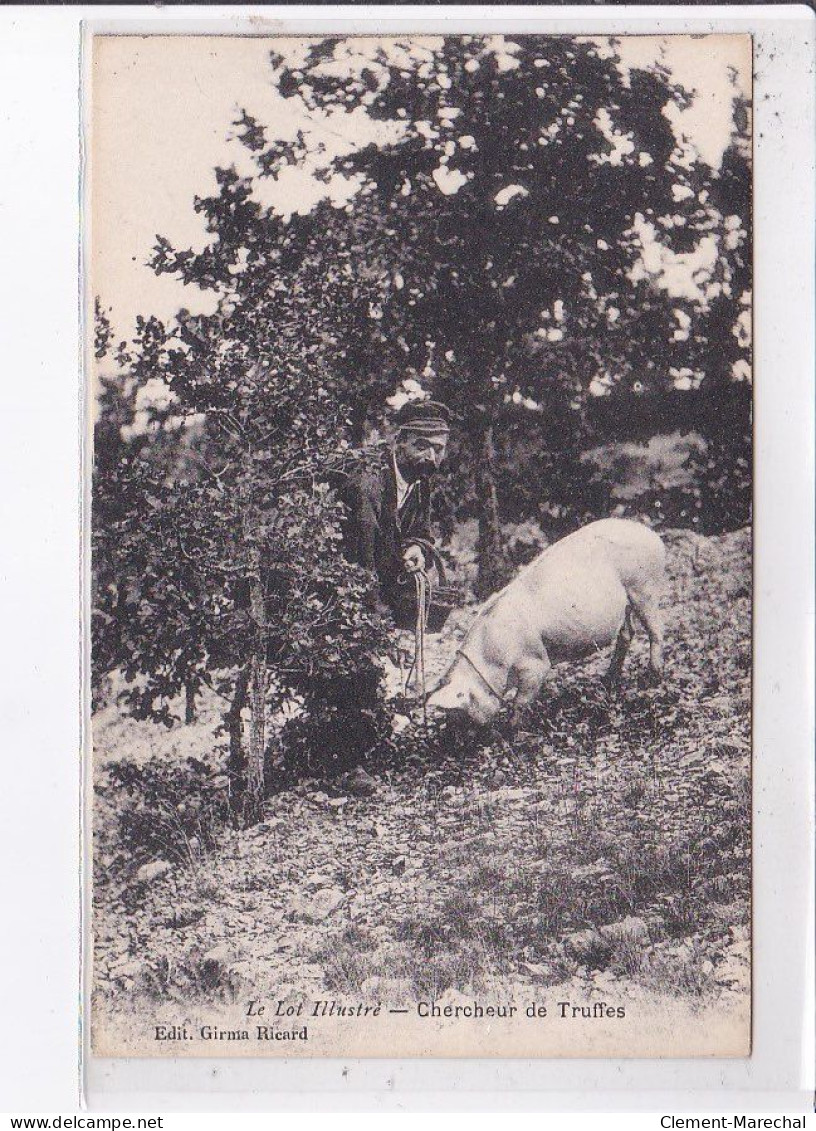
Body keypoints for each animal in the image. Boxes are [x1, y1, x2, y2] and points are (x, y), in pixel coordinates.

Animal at [423, 517, 665, 723]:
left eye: (460, 715)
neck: (493, 656)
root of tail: (651, 534)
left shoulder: (536, 663)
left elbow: (520, 702)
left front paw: (514, 731)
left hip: (645, 588)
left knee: (656, 631)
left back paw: (653, 677)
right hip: (626, 603)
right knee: (627, 633)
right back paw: (608, 680)